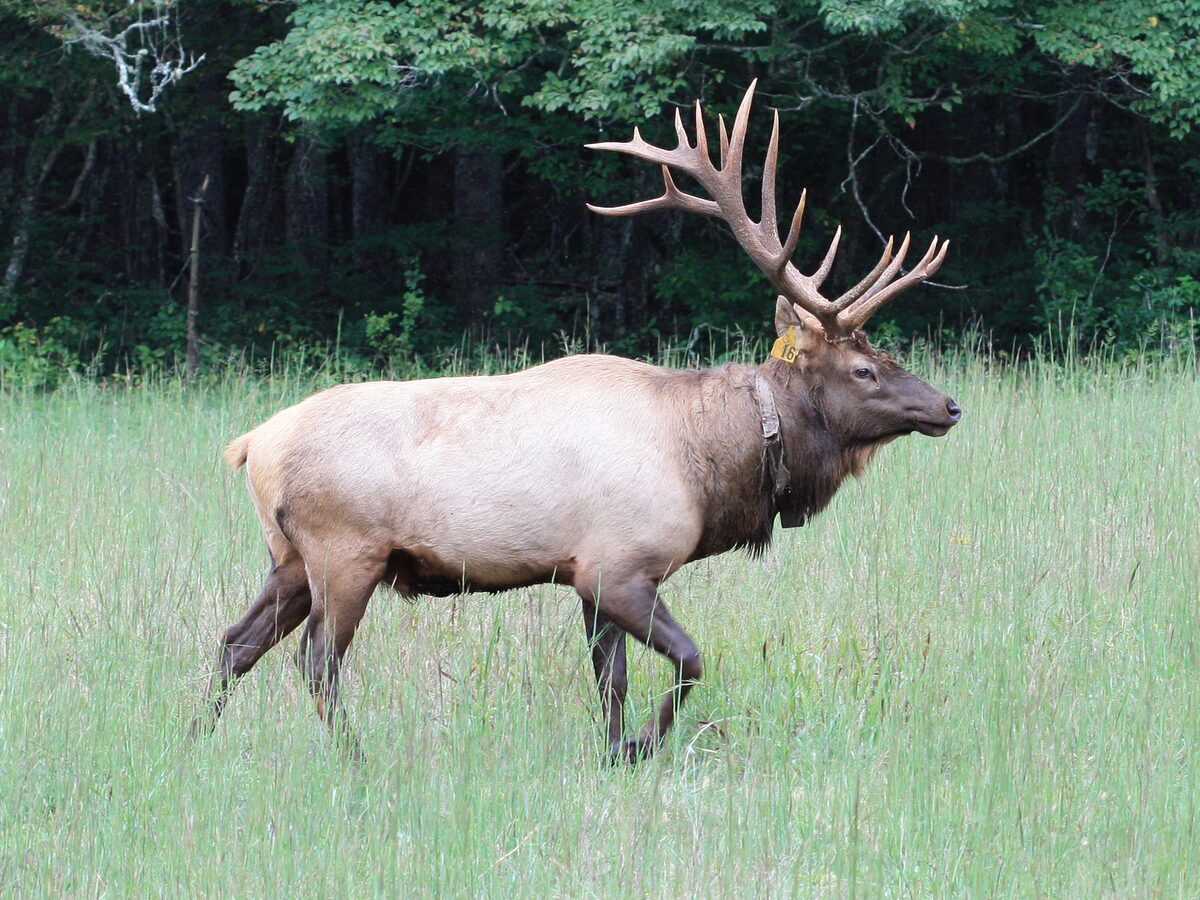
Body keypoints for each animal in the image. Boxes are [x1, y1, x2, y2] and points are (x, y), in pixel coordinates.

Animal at [189, 82, 961, 763]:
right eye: (863, 370)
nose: (949, 406)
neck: (711, 463)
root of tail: (251, 446)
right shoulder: (620, 566)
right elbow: (690, 660)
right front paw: (642, 745)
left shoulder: (586, 573)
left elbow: (609, 680)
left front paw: (614, 750)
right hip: (344, 551)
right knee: (316, 661)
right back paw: (356, 759)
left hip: (287, 557)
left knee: (235, 642)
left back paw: (190, 743)